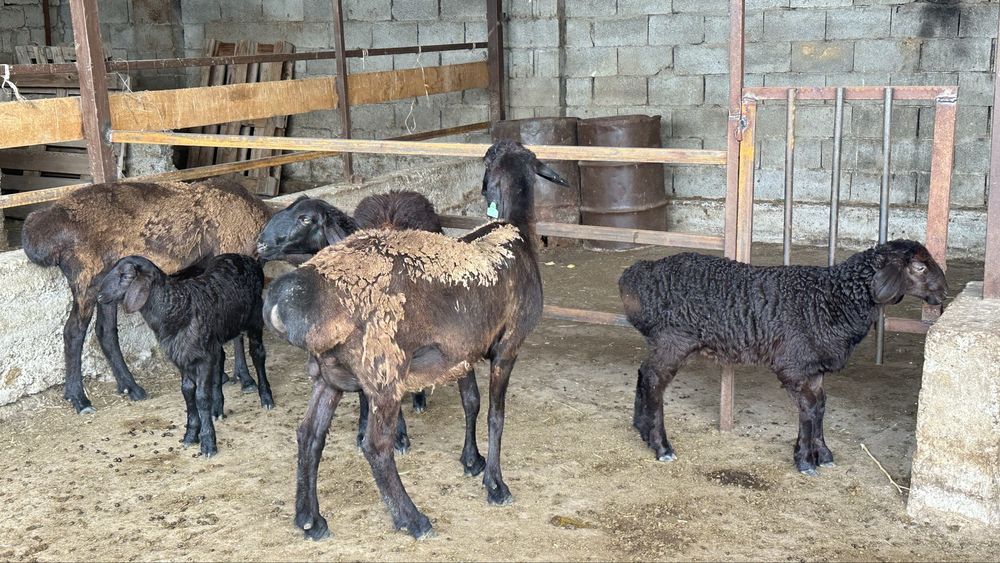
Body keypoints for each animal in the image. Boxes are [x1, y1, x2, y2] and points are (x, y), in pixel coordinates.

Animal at [20, 179, 271, 414]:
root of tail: (37, 232)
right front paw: (245, 378)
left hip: (106, 285)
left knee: (105, 330)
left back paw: (130, 387)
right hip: (85, 277)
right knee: (74, 331)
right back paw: (79, 398)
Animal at [96, 253, 270, 457]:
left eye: (126, 276)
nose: (99, 296)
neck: (176, 306)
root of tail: (245, 257)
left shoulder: (203, 358)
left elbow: (201, 397)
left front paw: (208, 443)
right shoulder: (182, 358)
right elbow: (187, 392)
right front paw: (190, 435)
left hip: (255, 318)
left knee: (257, 354)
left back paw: (266, 398)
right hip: (215, 338)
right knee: (220, 359)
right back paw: (217, 410)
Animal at [256, 190, 444, 450]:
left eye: (306, 219)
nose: (261, 243)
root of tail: (396, 193)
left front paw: (399, 435)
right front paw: (364, 427)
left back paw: (419, 398)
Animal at [618, 239, 948, 475]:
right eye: (919, 267)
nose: (944, 292)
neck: (834, 298)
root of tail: (637, 274)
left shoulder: (813, 369)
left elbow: (820, 407)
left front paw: (822, 454)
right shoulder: (794, 365)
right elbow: (809, 409)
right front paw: (805, 461)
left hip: (665, 341)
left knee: (644, 373)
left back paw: (641, 429)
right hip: (674, 339)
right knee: (654, 380)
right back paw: (662, 446)